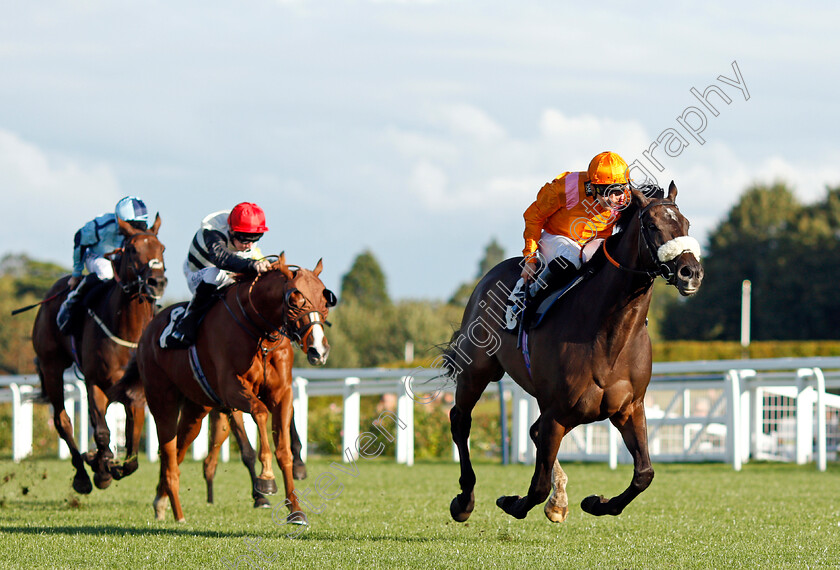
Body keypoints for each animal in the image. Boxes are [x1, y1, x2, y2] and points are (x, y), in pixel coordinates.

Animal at [31, 215, 166, 490]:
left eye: (162, 249)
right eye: (133, 249)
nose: (156, 282)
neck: (127, 331)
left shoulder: (136, 393)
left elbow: (132, 449)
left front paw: (109, 465)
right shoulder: (95, 383)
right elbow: (102, 433)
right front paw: (101, 469)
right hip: (51, 367)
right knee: (62, 421)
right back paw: (82, 476)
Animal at [115, 255, 332, 520]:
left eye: (325, 300)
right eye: (294, 300)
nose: (318, 350)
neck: (259, 333)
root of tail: (148, 332)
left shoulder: (282, 393)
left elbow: (284, 450)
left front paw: (296, 510)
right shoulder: (231, 389)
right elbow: (260, 413)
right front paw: (266, 479)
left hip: (195, 410)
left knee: (178, 450)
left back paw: (161, 499)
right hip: (161, 402)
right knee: (167, 453)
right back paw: (177, 512)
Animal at [446, 184, 704, 520]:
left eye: (686, 224)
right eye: (652, 225)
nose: (691, 272)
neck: (609, 334)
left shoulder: (629, 408)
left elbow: (644, 474)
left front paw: (597, 502)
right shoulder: (557, 412)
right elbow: (537, 487)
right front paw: (511, 501)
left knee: (532, 431)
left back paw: (558, 500)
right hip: (477, 371)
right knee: (460, 420)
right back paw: (465, 500)